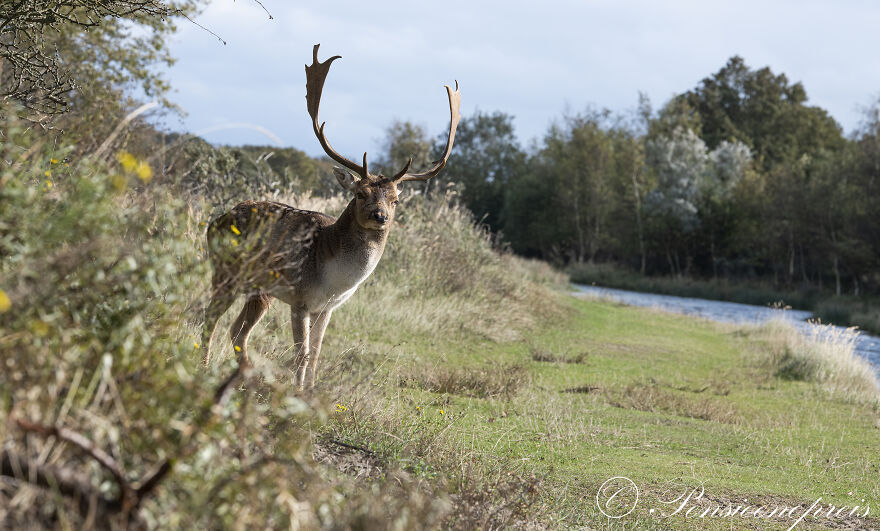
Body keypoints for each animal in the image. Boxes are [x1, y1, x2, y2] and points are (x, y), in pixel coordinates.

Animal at [200, 44, 461, 390]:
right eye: (360, 193)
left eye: (395, 200)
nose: (380, 216)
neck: (334, 279)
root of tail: (213, 222)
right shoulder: (300, 298)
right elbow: (302, 355)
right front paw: (295, 392)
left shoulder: (327, 309)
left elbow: (317, 354)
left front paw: (308, 392)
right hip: (225, 271)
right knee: (210, 319)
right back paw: (201, 367)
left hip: (259, 291)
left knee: (237, 331)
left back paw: (244, 378)